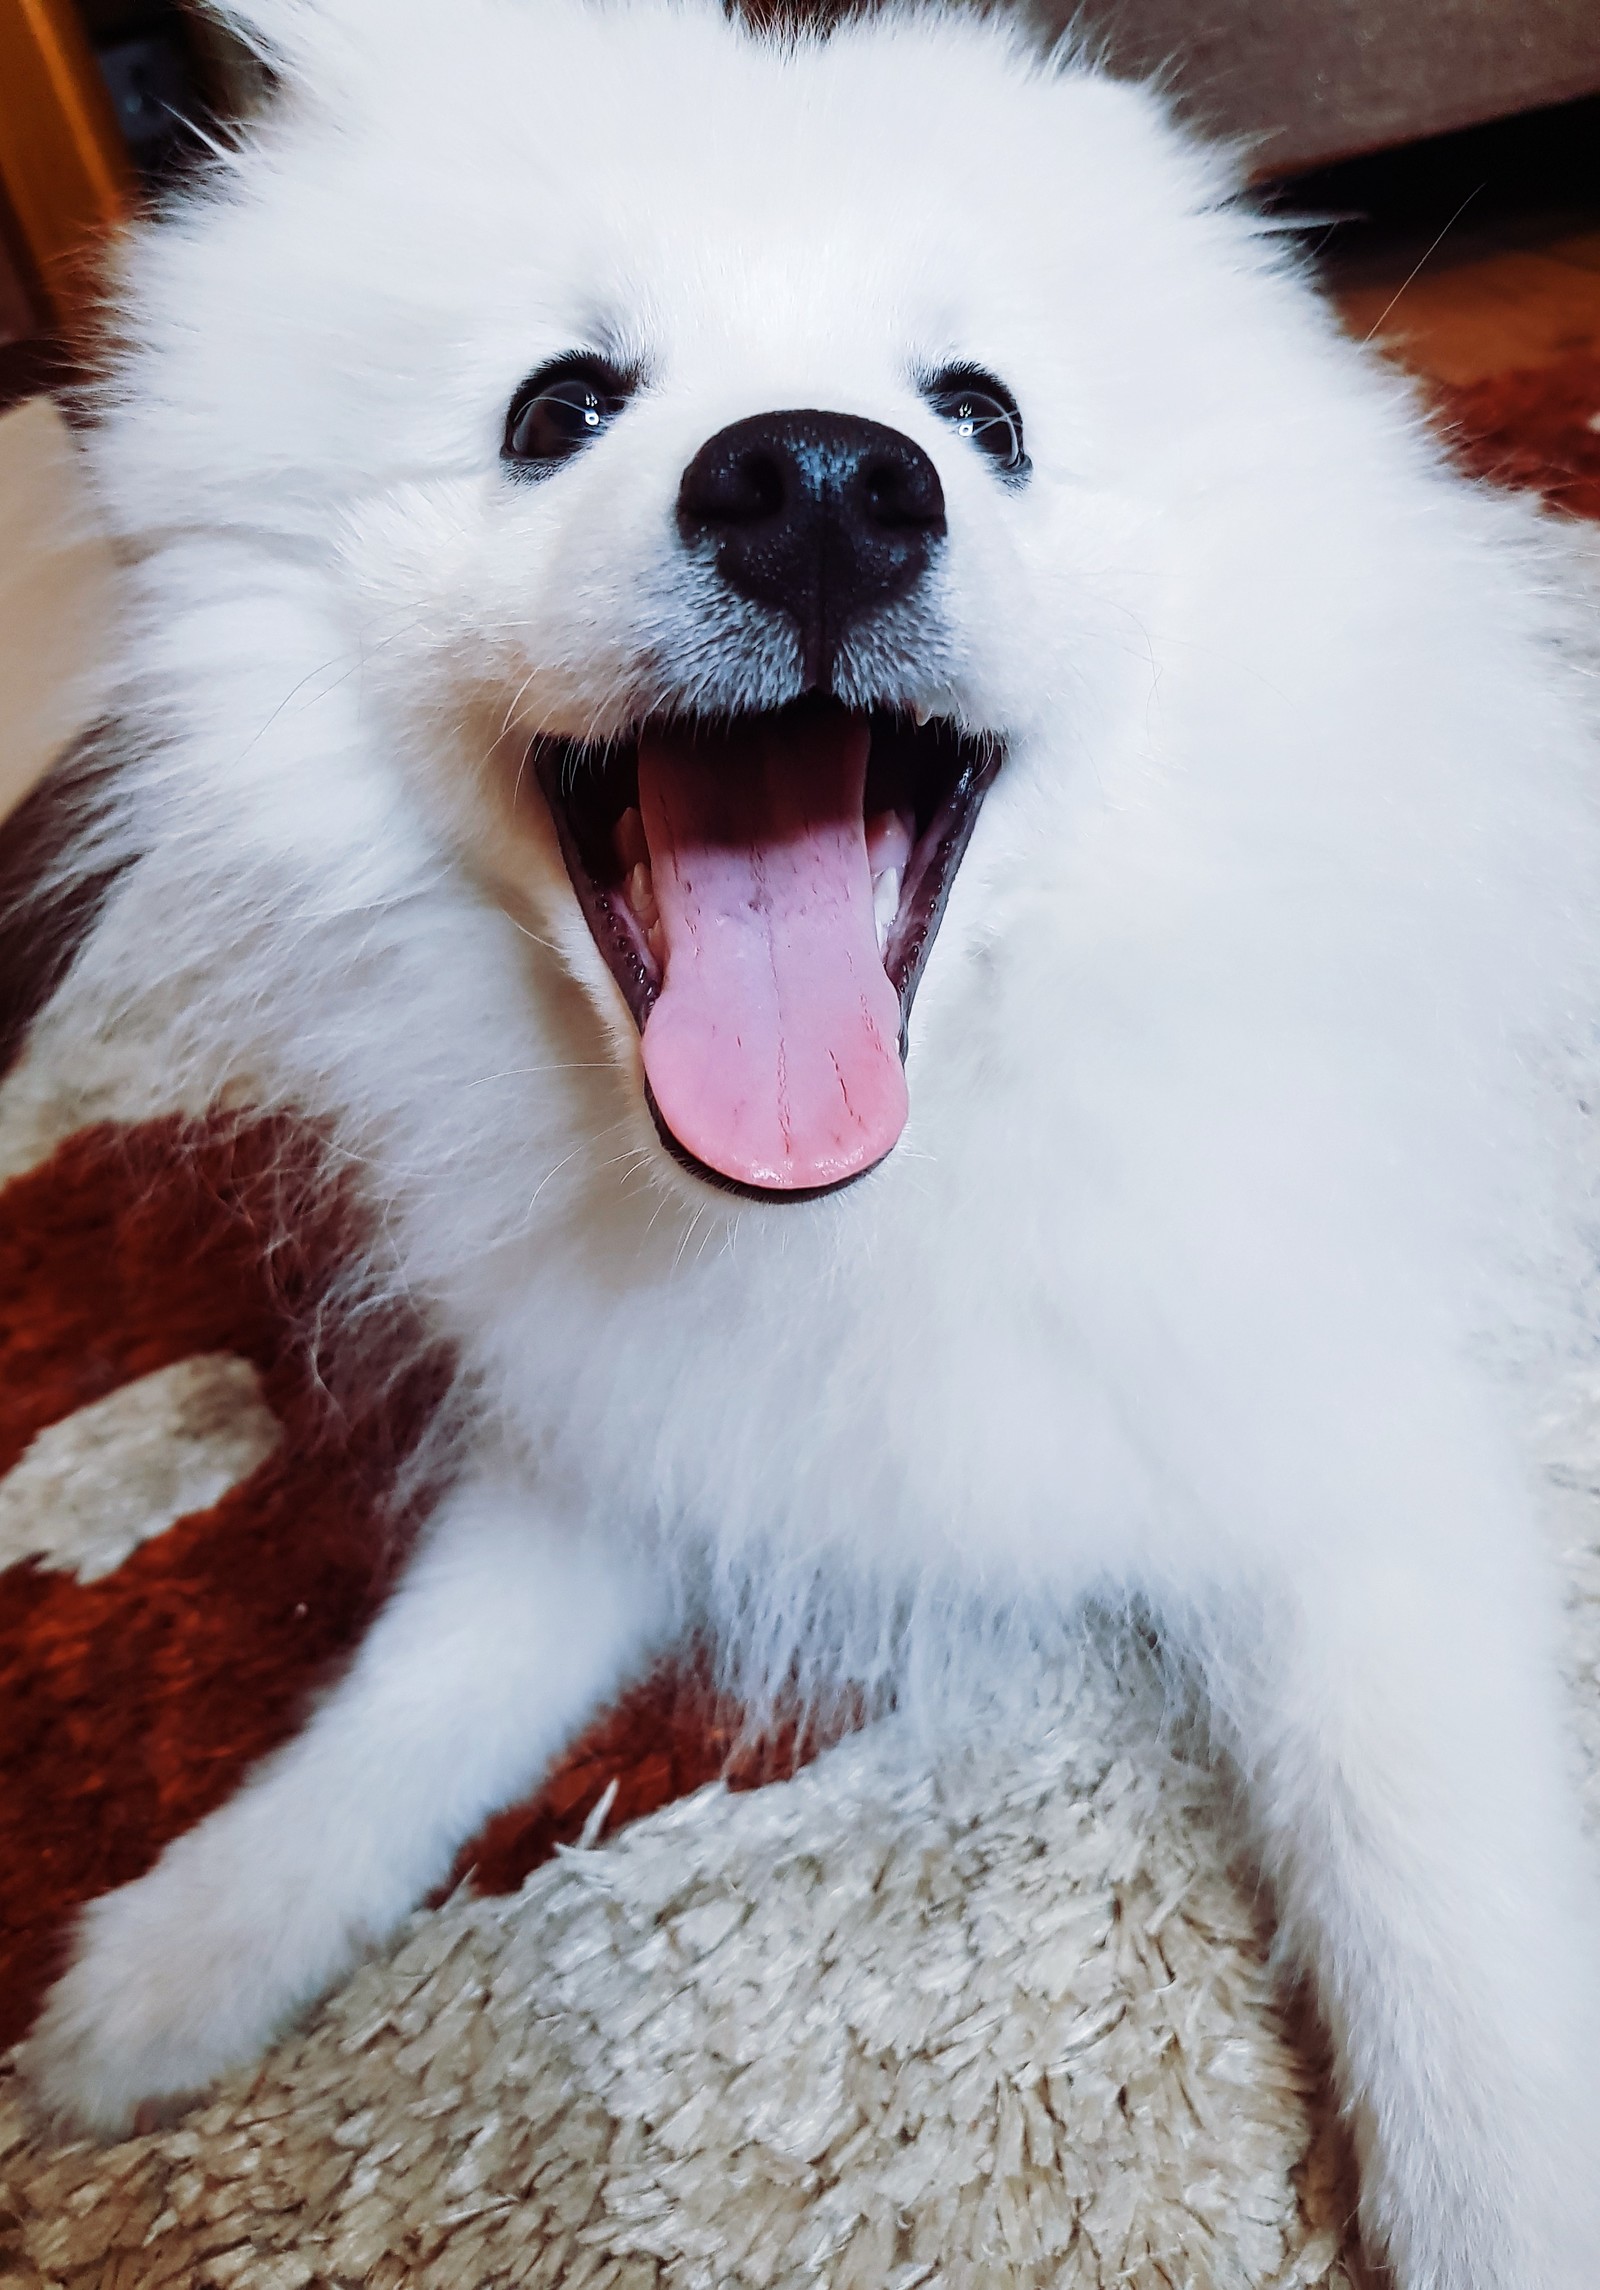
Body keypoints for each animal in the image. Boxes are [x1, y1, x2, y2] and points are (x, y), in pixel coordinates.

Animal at [18, 4, 1600, 2271]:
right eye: (557, 408)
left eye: (982, 413)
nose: (824, 486)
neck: (856, 1195)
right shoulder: (625, 1416)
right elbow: (425, 1677)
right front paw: (185, 1946)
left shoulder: (1338, 1438)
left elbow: (1441, 1916)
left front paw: (1511, 2199)